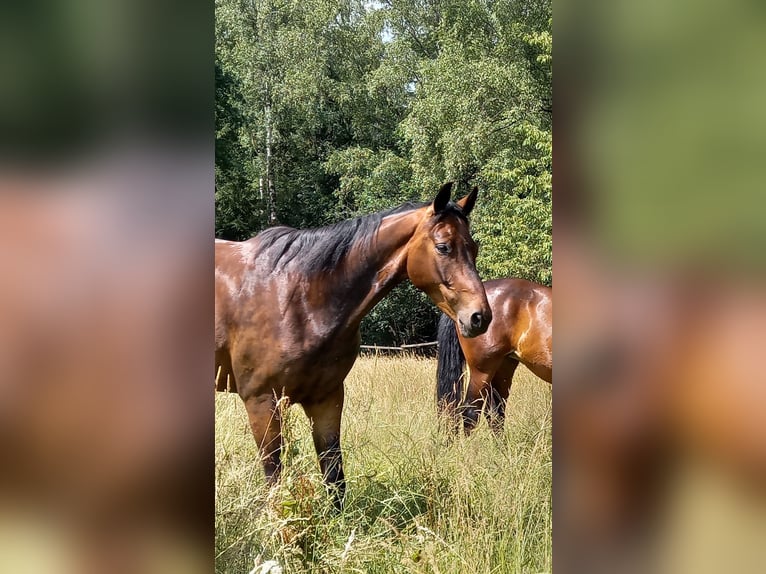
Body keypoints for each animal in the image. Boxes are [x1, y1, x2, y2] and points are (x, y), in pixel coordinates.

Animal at [216, 184, 492, 508]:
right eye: (443, 247)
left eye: (473, 248)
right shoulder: (262, 403)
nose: (480, 317)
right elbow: (275, 481)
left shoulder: (327, 399)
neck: (297, 298)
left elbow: (334, 476)